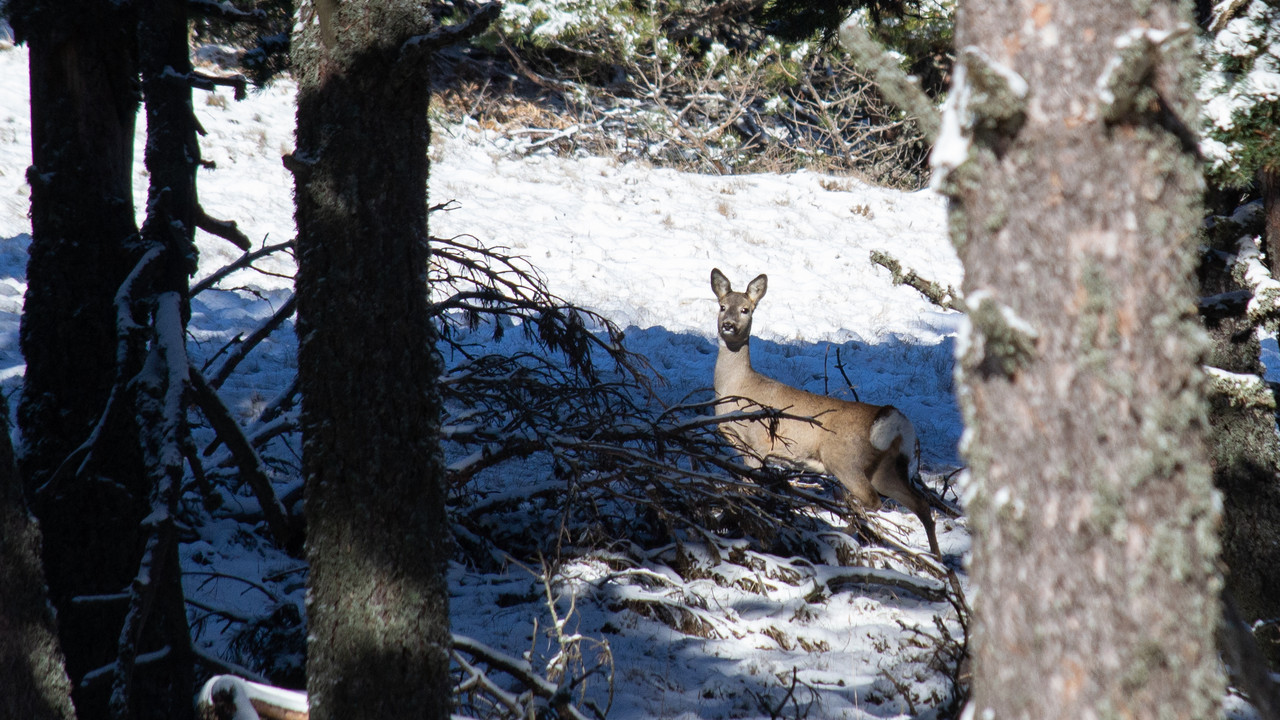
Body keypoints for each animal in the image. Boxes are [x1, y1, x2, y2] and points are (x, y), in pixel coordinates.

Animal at [711, 269, 942, 556]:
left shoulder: (758, 443)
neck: (737, 387)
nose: (728, 325)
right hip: (884, 468)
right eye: (722, 306)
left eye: (746, 309)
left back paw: (841, 532)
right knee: (919, 503)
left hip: (843, 460)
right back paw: (936, 557)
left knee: (872, 500)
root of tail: (898, 423)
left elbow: (751, 487)